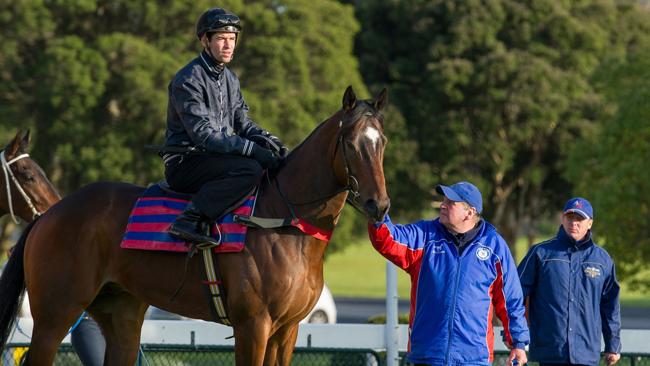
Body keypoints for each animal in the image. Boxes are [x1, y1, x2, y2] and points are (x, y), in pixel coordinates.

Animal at [0, 86, 388, 366]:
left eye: (381, 142)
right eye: (351, 143)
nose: (379, 205)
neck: (284, 224)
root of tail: (49, 214)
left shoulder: (287, 330)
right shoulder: (253, 325)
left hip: (120, 313)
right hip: (55, 314)